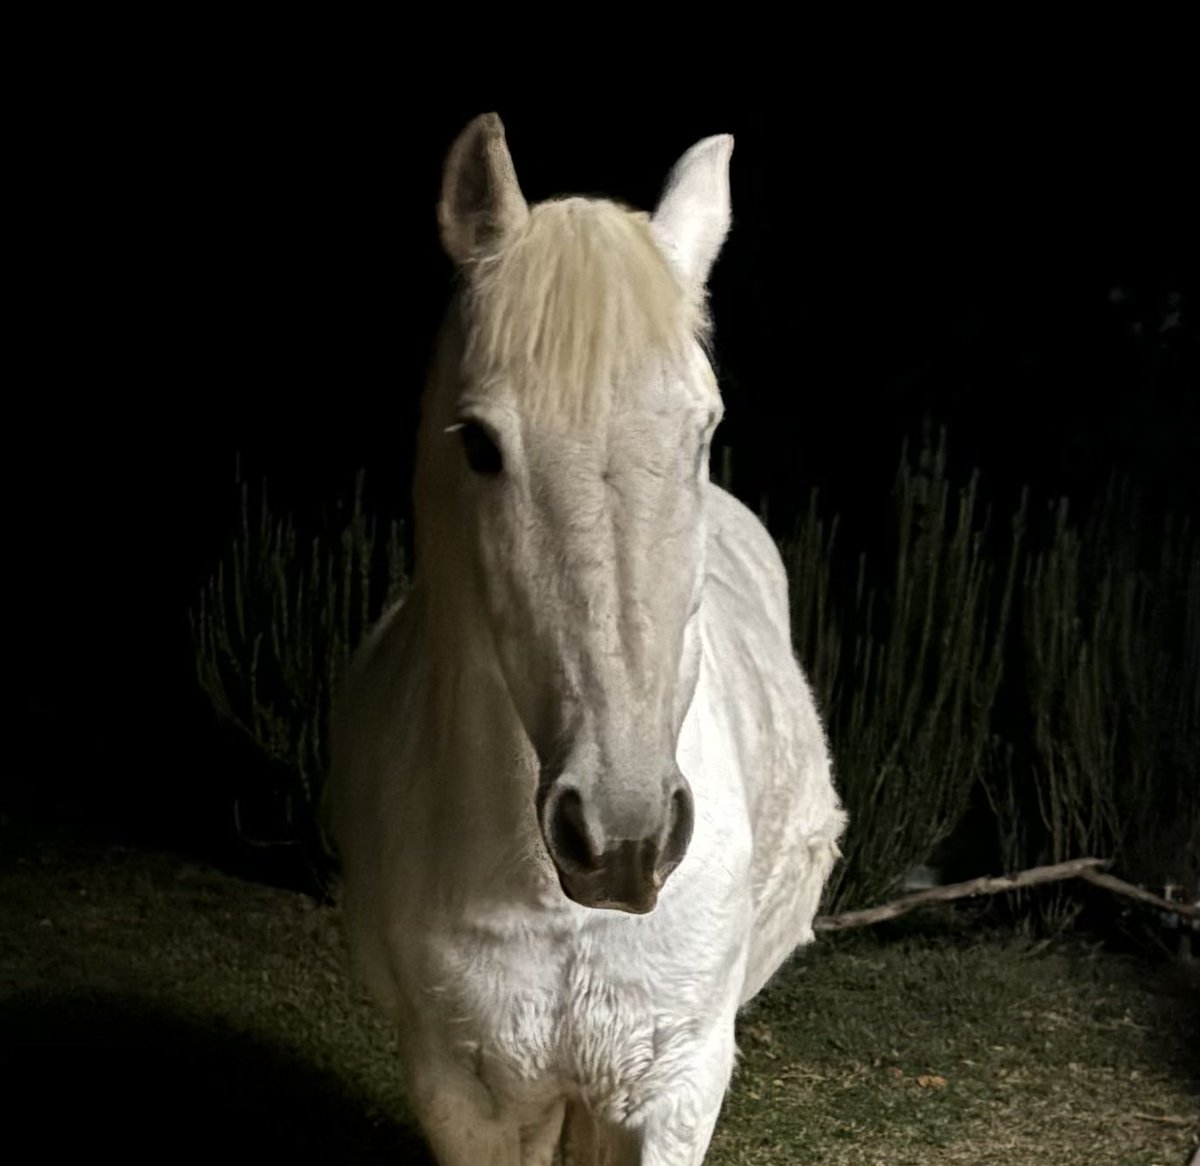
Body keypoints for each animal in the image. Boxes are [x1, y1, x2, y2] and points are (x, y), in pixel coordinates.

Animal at [327, 113, 846, 1166]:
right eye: (481, 444)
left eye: (704, 430)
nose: (624, 838)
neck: (546, 902)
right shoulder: (466, 1096)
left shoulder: (673, 1087)